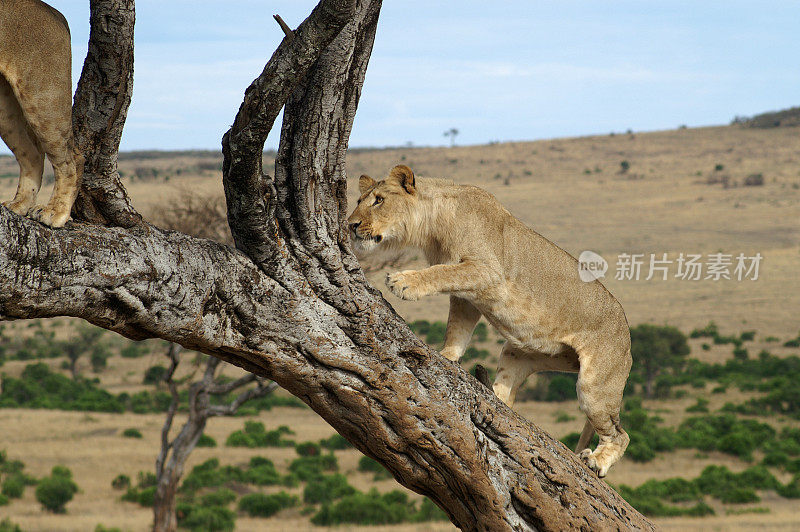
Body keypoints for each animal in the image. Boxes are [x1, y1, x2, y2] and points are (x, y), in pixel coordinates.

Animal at [0, 0, 83, 227]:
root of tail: (54, 13)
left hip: (42, 95)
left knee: (72, 157)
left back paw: (56, 212)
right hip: (5, 108)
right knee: (32, 154)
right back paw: (19, 204)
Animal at [348, 164, 632, 476]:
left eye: (379, 200)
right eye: (359, 200)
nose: (351, 225)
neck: (433, 226)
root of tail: (629, 339)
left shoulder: (486, 271)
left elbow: (439, 273)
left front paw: (403, 282)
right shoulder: (467, 294)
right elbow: (457, 328)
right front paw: (447, 355)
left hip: (595, 385)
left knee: (621, 434)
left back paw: (597, 461)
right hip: (518, 354)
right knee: (506, 396)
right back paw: (492, 395)